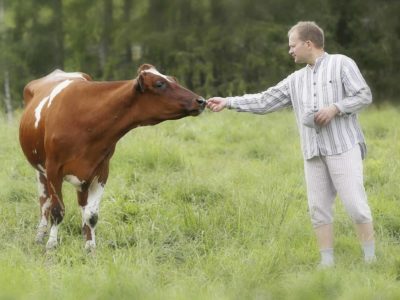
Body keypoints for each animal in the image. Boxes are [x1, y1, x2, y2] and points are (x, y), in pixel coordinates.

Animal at [18, 63, 206, 251]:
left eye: (174, 79)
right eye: (160, 84)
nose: (201, 101)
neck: (88, 121)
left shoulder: (101, 170)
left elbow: (91, 215)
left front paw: (90, 248)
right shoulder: (53, 169)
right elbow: (57, 210)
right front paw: (51, 246)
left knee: (82, 207)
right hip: (41, 170)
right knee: (44, 203)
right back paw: (40, 236)